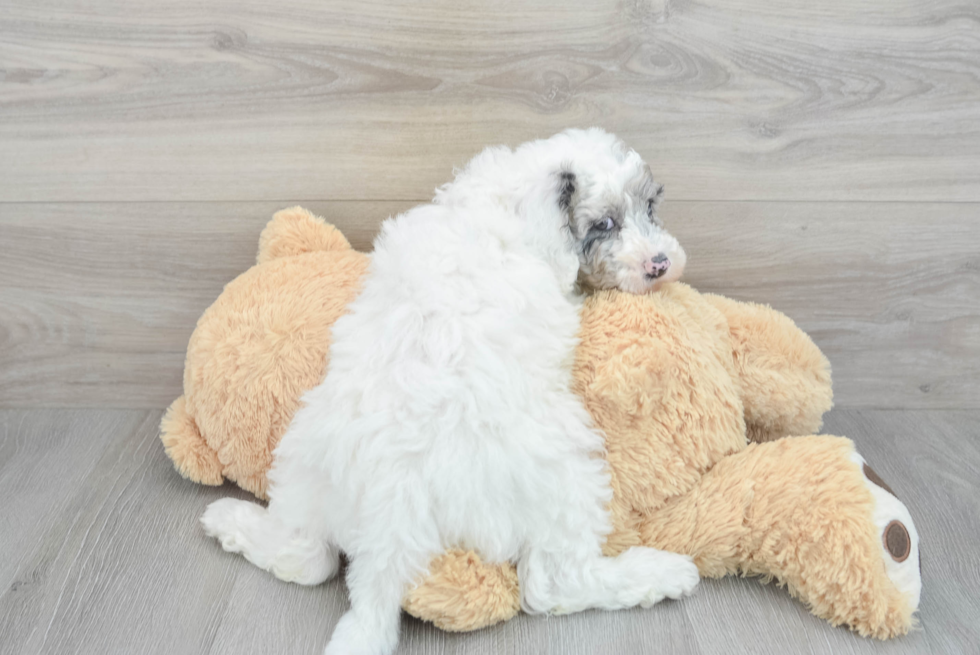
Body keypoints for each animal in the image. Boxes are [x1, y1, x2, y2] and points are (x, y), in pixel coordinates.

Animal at [203, 128, 696, 655]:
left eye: (651, 206)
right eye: (604, 223)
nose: (660, 264)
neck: (506, 196)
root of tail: (389, 525)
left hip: (304, 461)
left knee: (305, 555)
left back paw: (229, 521)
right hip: (566, 477)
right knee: (555, 584)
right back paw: (662, 572)